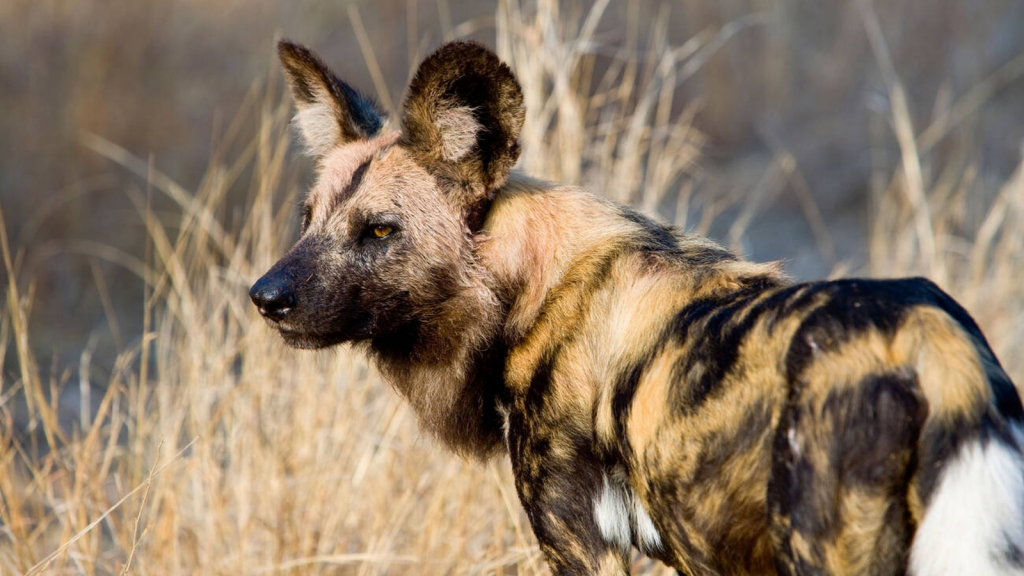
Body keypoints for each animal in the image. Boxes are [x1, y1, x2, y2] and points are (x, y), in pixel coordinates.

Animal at [249, 40, 1024, 573]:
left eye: (380, 231)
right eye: (308, 219)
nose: (265, 298)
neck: (524, 292)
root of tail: (928, 331)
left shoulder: (581, 542)